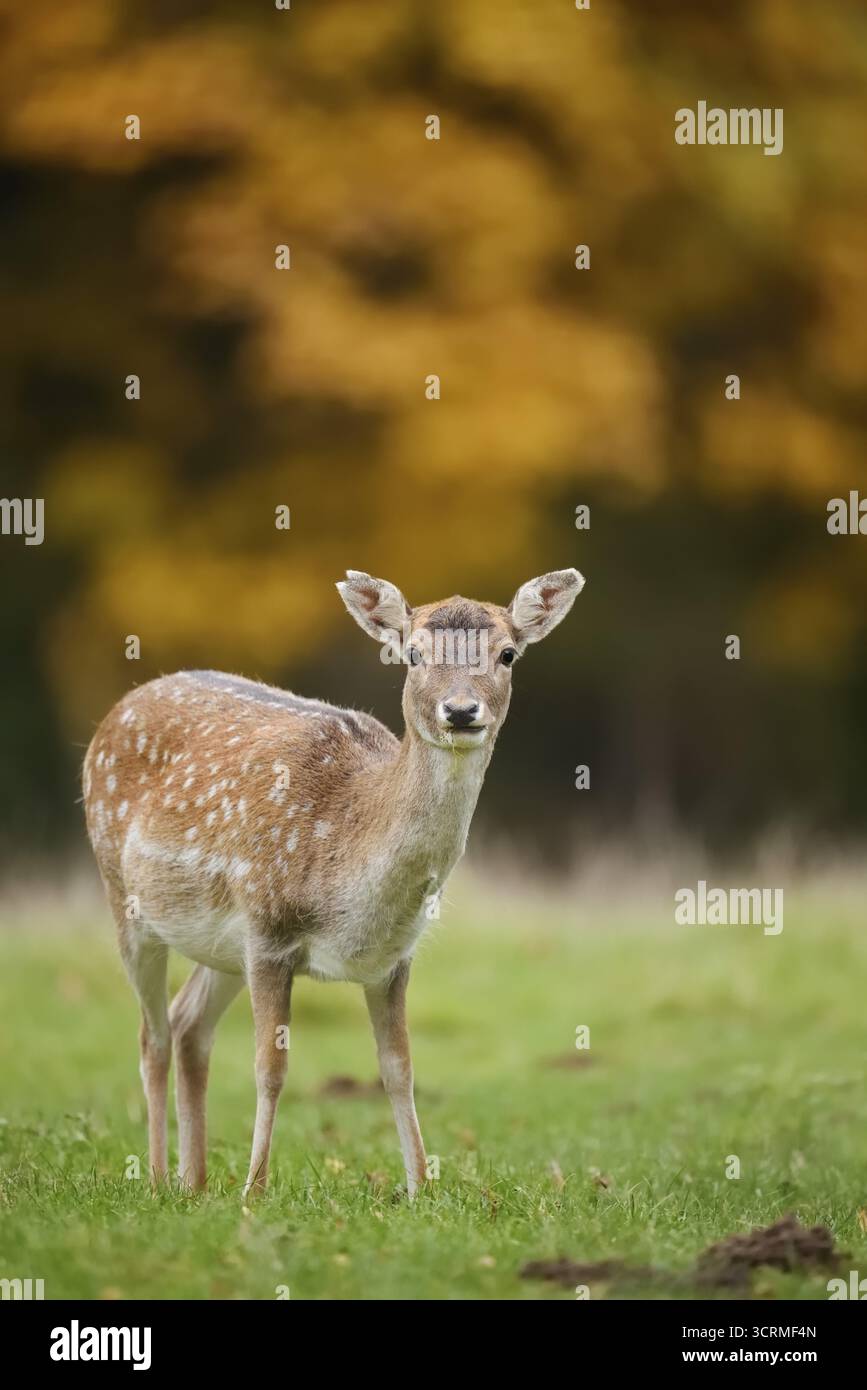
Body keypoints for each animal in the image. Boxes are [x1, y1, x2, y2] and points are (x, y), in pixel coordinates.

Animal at [82, 568, 584, 1198]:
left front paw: (421, 1187)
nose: (461, 710)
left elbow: (399, 1068)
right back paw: (154, 1179)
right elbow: (271, 1068)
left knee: (187, 1023)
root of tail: (118, 709)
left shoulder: (394, 957)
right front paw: (254, 1190)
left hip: (221, 944)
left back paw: (193, 1183)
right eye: (412, 653)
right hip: (123, 894)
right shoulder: (268, 932)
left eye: (508, 654)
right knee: (153, 1036)